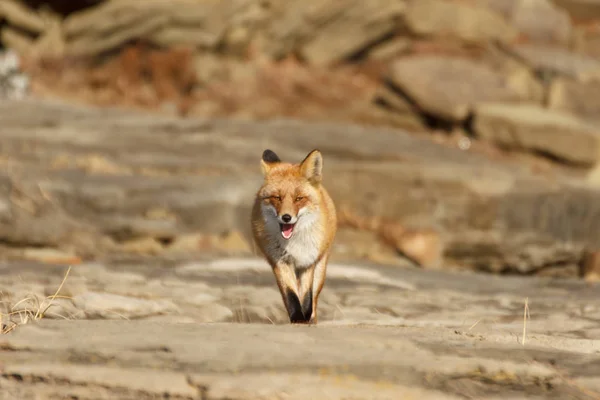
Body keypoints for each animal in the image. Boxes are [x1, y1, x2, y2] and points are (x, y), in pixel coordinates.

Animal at [250, 148, 338, 324]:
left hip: (320, 269)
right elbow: (291, 295)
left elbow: (306, 297)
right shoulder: (280, 262)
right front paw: (297, 318)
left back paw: (312, 319)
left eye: (299, 199)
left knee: (314, 299)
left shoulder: (308, 262)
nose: (286, 217)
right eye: (277, 197)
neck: (294, 242)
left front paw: (305, 317)